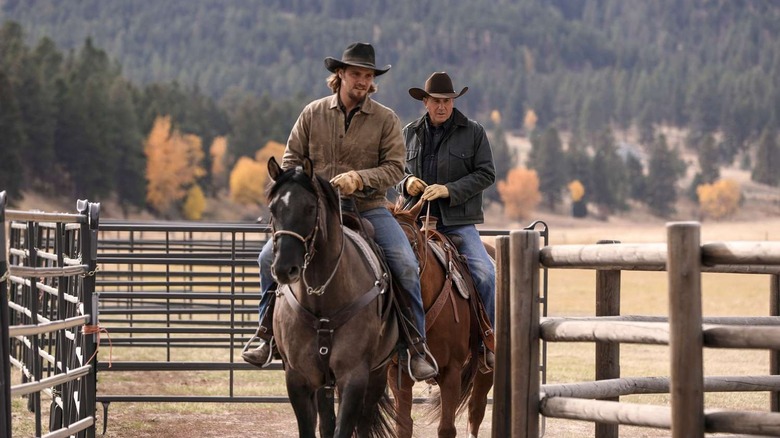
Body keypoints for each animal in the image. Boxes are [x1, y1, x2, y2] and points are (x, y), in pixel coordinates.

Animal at [268, 157, 402, 438]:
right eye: (273, 208)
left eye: (310, 208)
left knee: (364, 422)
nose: (285, 268)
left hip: (377, 373)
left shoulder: (354, 377)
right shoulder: (298, 378)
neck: (322, 299)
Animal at [388, 199, 494, 438]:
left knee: (476, 409)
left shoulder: (451, 371)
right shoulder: (398, 372)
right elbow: (403, 426)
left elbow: (446, 428)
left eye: (412, 243)